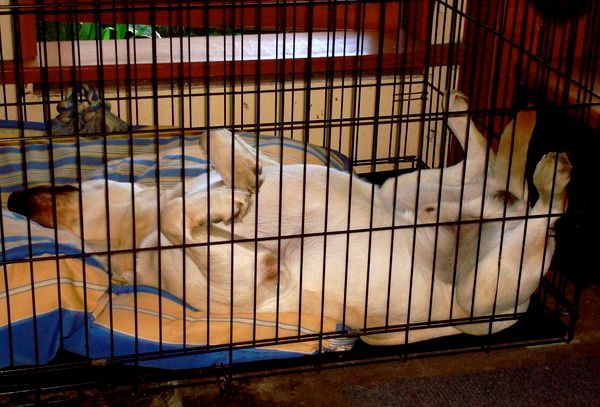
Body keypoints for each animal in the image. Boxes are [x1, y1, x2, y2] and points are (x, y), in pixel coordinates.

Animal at [7, 92, 572, 346]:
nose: (15, 200)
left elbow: (211, 133)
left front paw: (241, 174)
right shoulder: (257, 274)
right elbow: (179, 214)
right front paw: (229, 202)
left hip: (402, 190)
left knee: (493, 170)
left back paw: (491, 123)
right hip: (481, 296)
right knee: (541, 209)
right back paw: (553, 171)